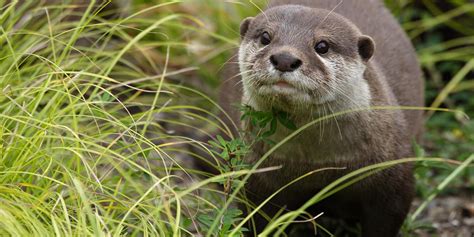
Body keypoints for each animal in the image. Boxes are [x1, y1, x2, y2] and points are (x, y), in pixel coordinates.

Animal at [217, 0, 424, 237]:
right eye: (265, 37)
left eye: (322, 46)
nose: (285, 59)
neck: (318, 164)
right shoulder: (257, 176)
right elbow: (256, 218)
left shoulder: (393, 176)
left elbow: (386, 218)